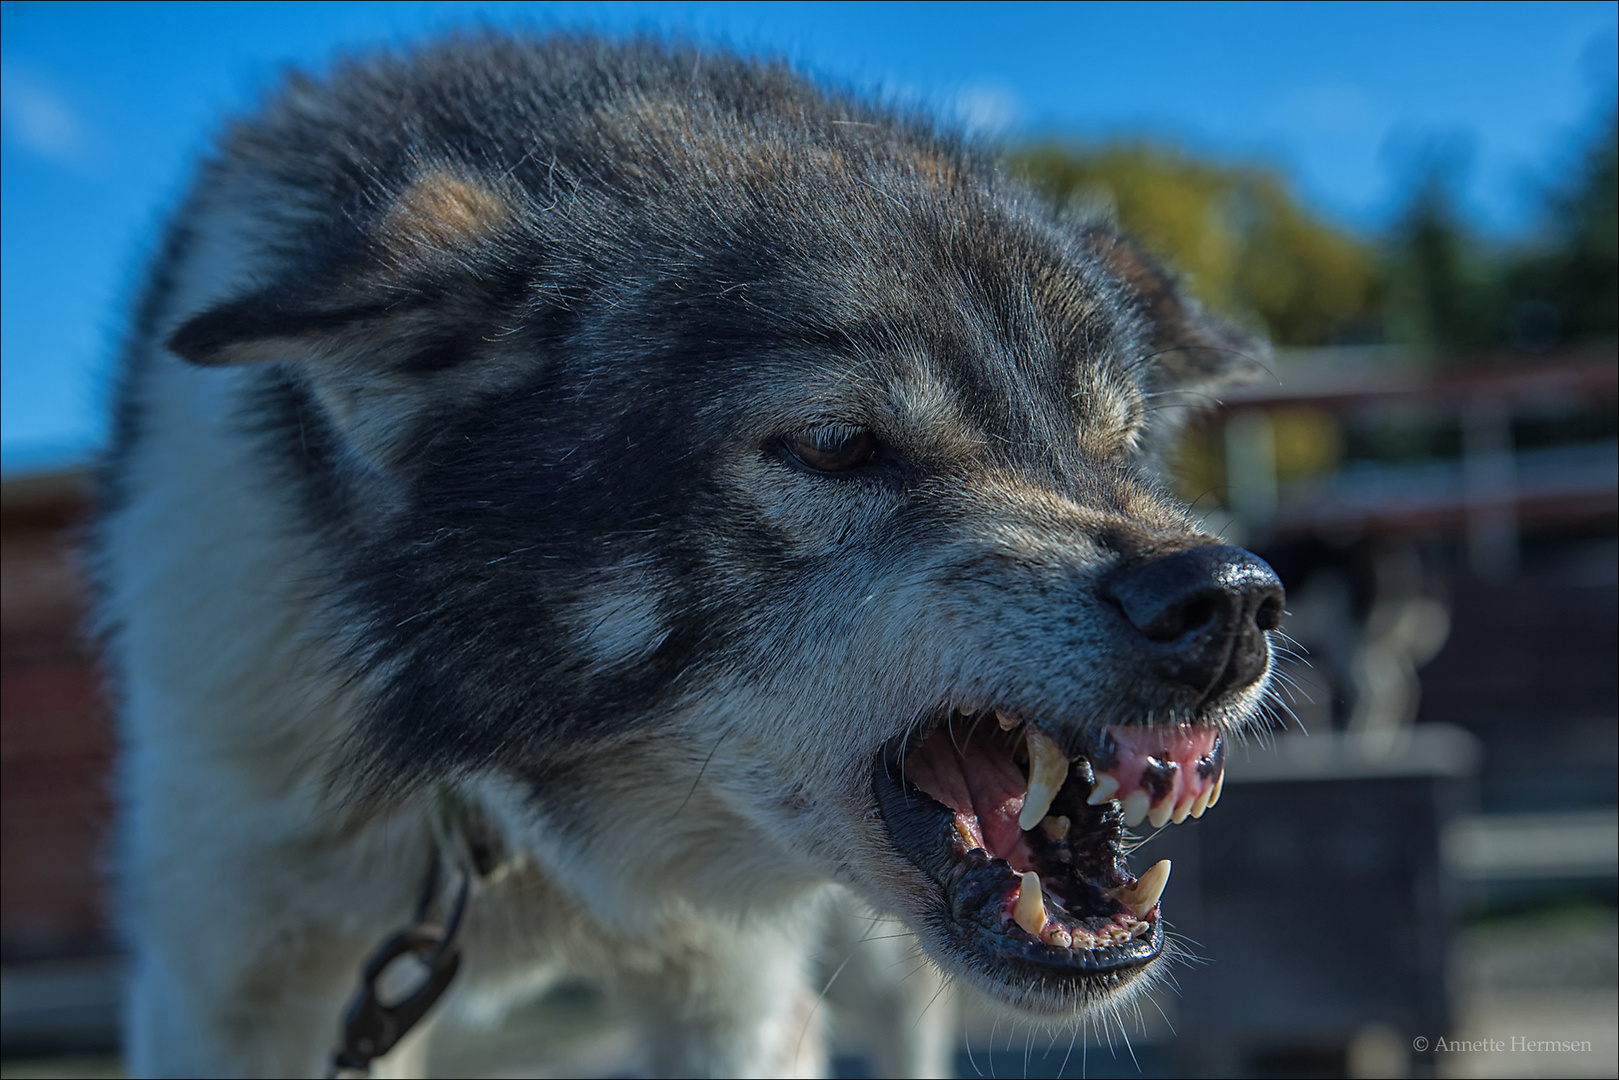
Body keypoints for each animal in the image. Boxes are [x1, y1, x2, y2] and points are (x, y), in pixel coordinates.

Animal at [97, 31, 1288, 1075]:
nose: (1229, 599)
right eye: (832, 442)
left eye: (1116, 443)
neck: (506, 798)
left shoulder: (734, 998)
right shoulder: (227, 981)